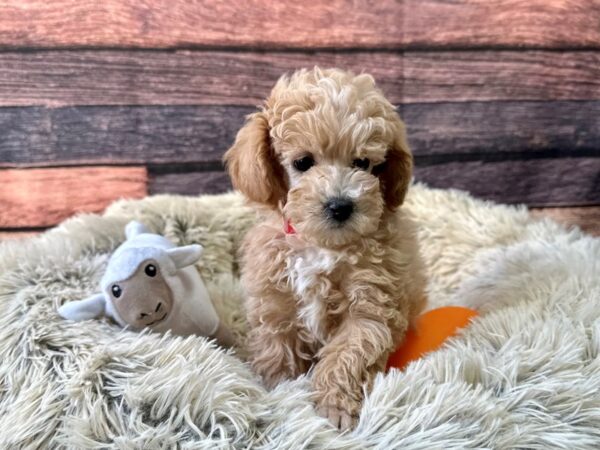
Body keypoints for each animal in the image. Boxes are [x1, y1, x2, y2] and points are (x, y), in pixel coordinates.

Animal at [225, 67, 426, 428]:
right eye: (303, 163)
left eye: (362, 163)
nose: (341, 205)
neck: (321, 244)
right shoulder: (275, 298)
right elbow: (276, 345)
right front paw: (276, 388)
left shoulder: (372, 303)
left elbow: (347, 354)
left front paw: (334, 409)